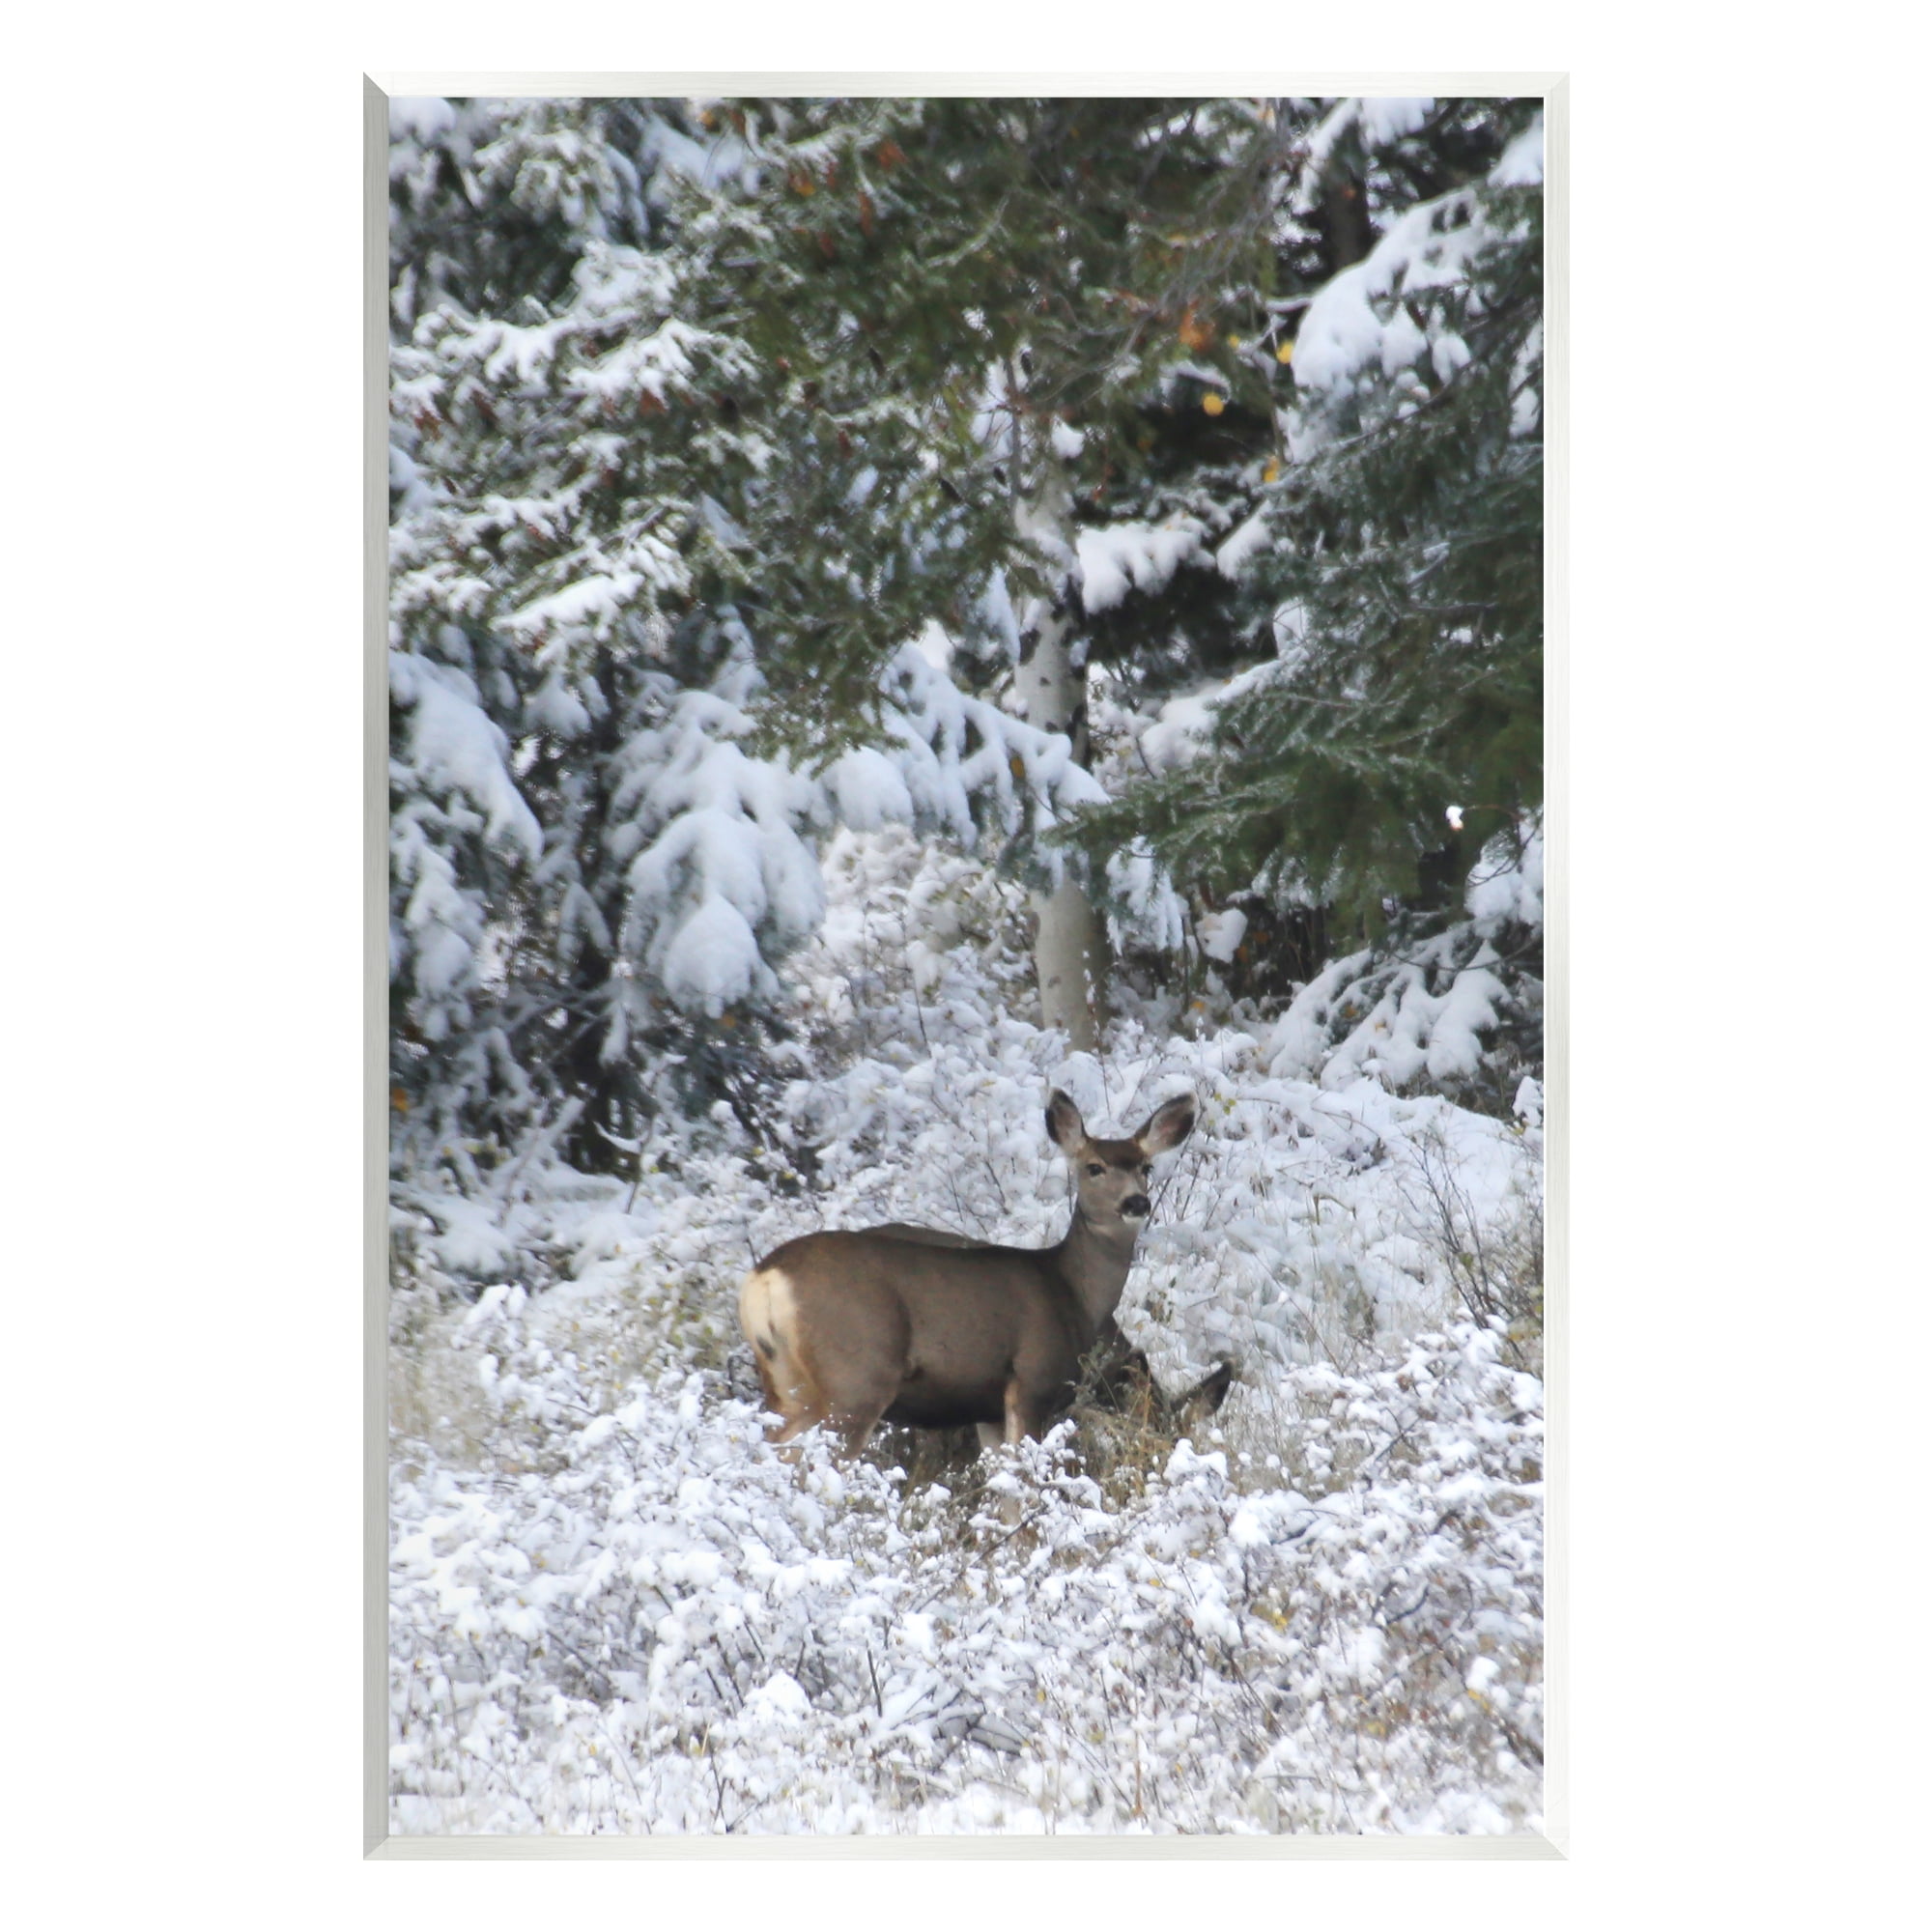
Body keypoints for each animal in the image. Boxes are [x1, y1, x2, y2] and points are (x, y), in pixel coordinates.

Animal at [738, 1088, 1227, 1456]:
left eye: (1146, 1166)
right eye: (1094, 1167)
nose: (1136, 1202)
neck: (1076, 1297)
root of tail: (766, 1278)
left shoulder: (987, 1410)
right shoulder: (1031, 1380)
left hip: (786, 1382)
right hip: (856, 1375)